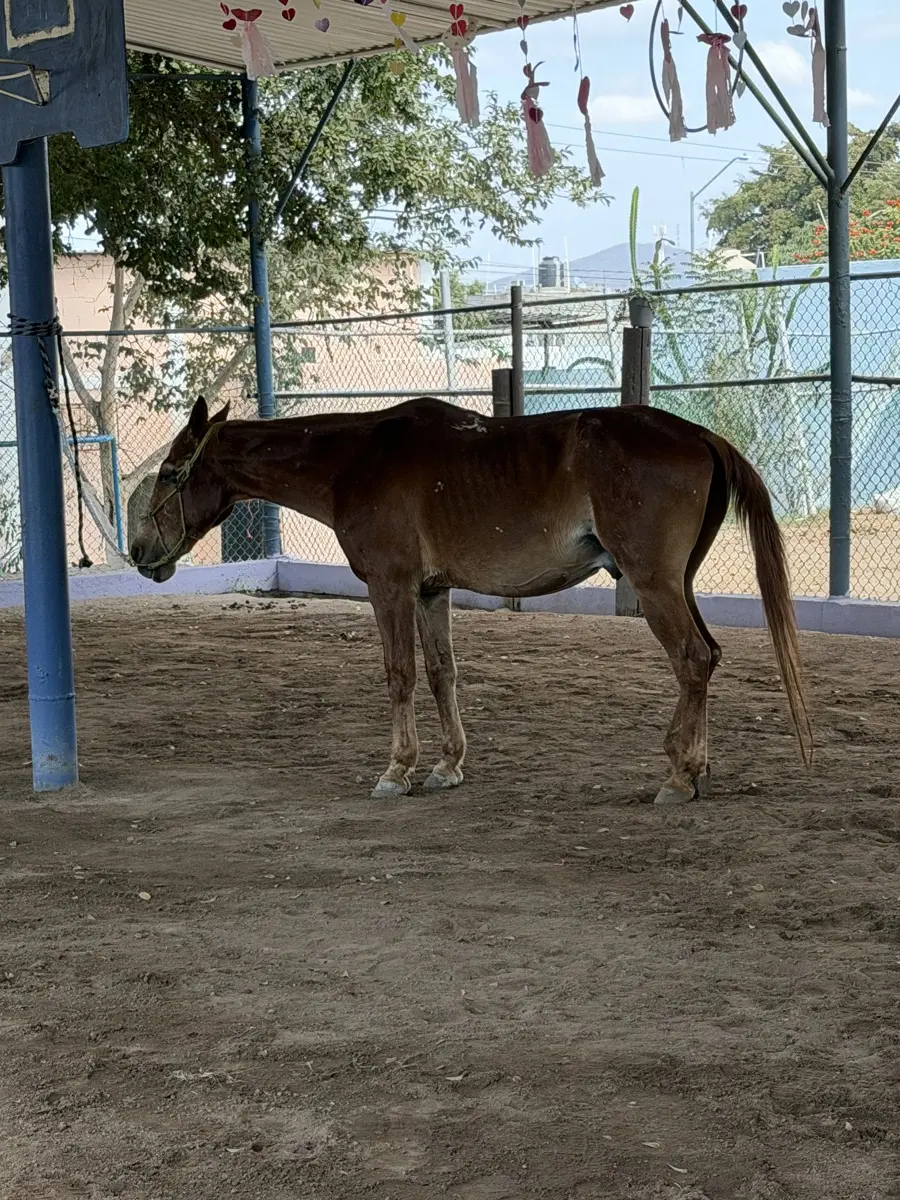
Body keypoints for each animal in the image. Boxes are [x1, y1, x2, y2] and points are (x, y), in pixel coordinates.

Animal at [131, 395, 812, 805]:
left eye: (167, 474)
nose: (140, 553)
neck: (359, 457)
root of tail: (698, 434)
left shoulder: (390, 586)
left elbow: (400, 674)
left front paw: (397, 770)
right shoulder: (432, 592)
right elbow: (441, 673)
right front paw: (447, 765)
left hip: (655, 585)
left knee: (693, 659)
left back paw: (677, 775)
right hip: (679, 583)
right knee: (709, 657)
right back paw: (698, 769)